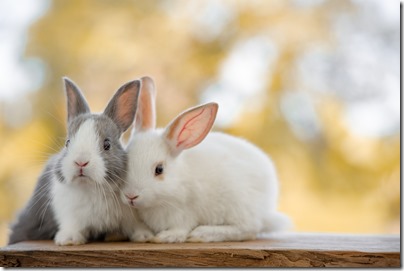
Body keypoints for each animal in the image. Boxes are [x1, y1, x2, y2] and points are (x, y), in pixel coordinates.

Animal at [121, 78, 292, 244]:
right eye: (125, 160)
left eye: (159, 169)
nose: (131, 196)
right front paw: (143, 236)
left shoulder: (184, 213)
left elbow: (181, 229)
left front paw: (166, 237)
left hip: (238, 205)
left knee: (249, 229)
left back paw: (202, 233)